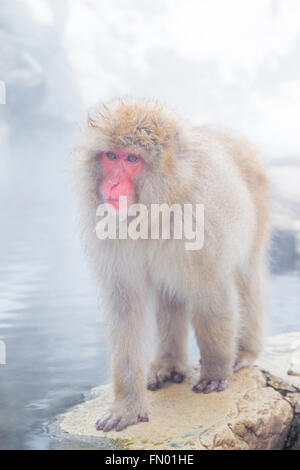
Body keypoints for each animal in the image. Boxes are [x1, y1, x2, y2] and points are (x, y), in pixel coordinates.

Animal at [74, 100, 270, 434]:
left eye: (132, 159)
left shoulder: (203, 222)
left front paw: (215, 371)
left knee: (246, 274)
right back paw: (168, 364)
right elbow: (126, 308)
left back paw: (244, 352)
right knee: (170, 294)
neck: (157, 205)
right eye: (111, 156)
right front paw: (127, 405)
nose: (112, 183)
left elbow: (212, 290)